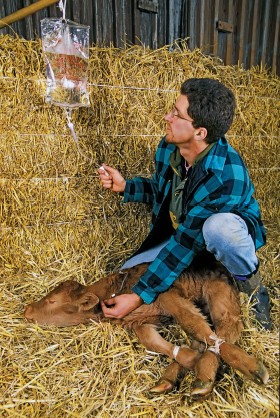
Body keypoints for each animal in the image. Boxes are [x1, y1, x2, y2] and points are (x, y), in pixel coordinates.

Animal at [24, 255, 270, 398]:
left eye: (52, 301)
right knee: (200, 339)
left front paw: (253, 368)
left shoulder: (168, 296)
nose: (27, 310)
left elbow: (194, 324)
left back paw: (207, 377)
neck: (115, 290)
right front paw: (189, 359)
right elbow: (154, 342)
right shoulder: (140, 321)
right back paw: (170, 379)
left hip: (218, 292)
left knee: (227, 327)